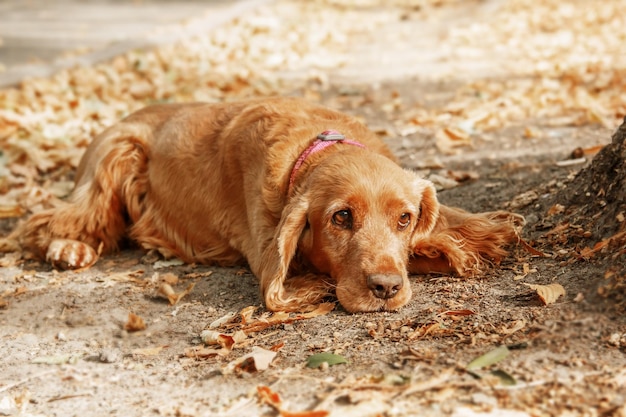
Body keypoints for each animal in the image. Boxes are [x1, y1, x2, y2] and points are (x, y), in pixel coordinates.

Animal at [14, 96, 520, 312]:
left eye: (404, 218)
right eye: (341, 217)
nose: (386, 288)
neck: (318, 145)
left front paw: (464, 240)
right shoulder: (264, 248)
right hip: (115, 155)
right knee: (51, 220)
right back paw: (68, 248)